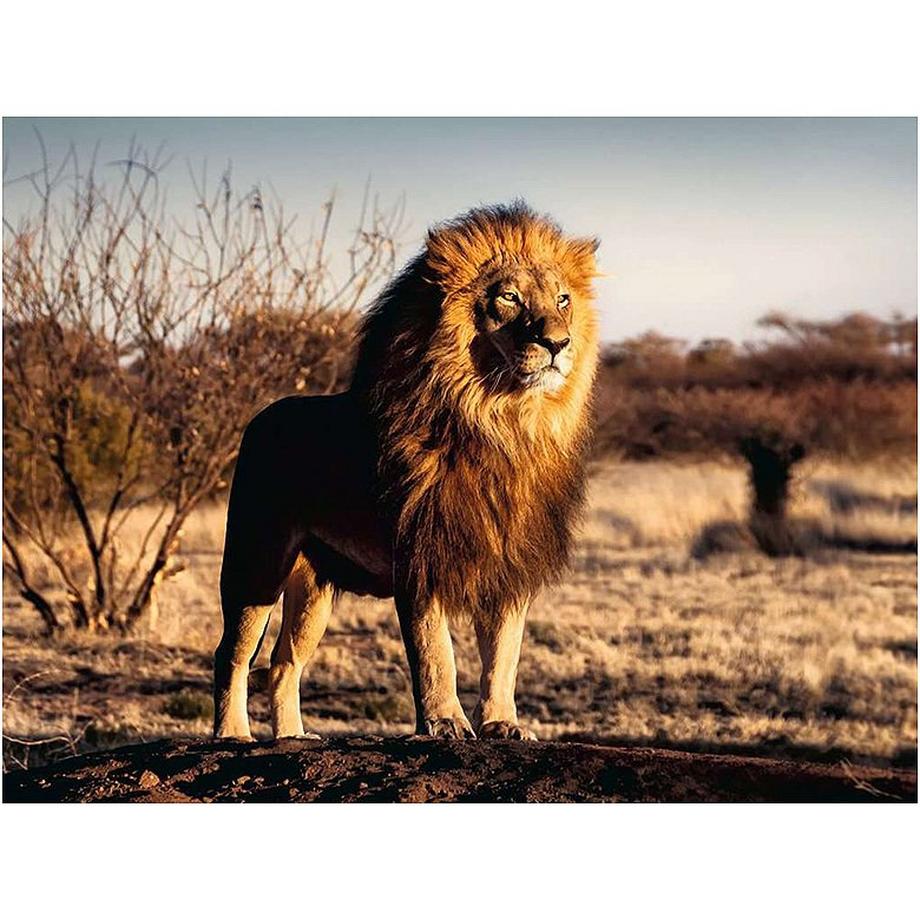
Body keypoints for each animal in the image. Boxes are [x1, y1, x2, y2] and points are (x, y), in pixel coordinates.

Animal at [213, 202, 600, 741]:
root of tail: (261, 417)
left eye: (563, 299)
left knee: (283, 662)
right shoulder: (420, 556)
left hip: (312, 589)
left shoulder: (509, 563)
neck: (502, 424)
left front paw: (502, 723)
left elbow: (503, 656)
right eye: (508, 297)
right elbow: (436, 653)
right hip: (256, 564)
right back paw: (232, 734)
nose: (558, 343)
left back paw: (292, 736)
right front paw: (445, 723)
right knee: (232, 654)